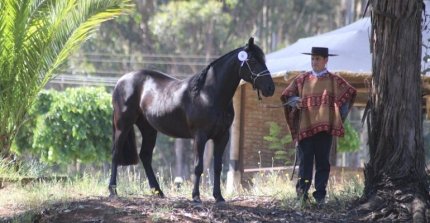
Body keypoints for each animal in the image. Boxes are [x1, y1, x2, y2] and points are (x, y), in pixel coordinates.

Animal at [109, 37, 274, 203]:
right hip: (123, 125)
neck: (208, 94)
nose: (270, 88)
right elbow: (198, 166)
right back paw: (113, 190)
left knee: (145, 156)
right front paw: (196, 196)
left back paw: (158, 192)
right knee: (116, 153)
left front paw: (218, 196)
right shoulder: (200, 136)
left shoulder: (222, 137)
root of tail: (121, 81)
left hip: (149, 129)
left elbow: (218, 167)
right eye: (252, 60)